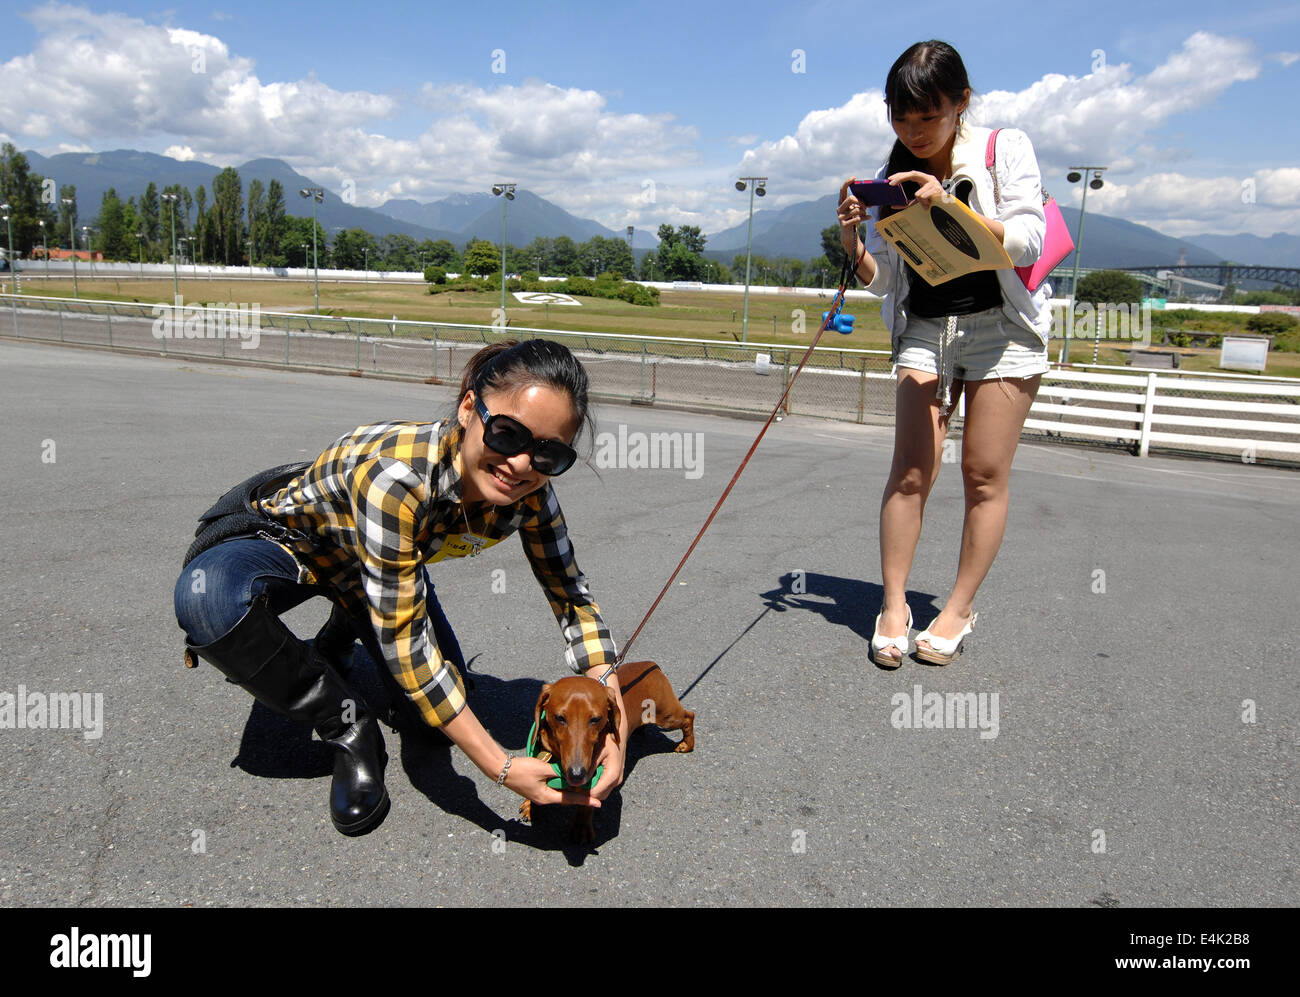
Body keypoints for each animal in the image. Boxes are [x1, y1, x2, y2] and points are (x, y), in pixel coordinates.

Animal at [522, 662, 696, 842]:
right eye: (559, 718)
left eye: (595, 719)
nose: (577, 775)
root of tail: (650, 664)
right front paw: (530, 804)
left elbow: (586, 805)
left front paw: (581, 829)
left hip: (668, 716)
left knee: (689, 716)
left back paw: (686, 744)